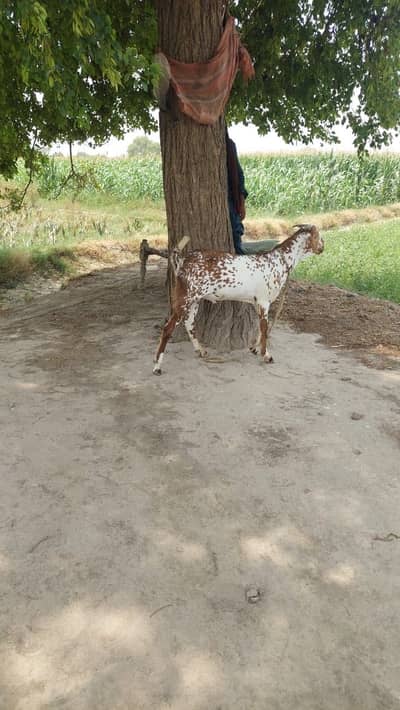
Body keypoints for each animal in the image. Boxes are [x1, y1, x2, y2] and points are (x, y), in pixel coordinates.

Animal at [153, 224, 324, 375]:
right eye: (320, 236)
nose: (323, 247)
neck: (280, 260)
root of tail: (183, 261)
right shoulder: (264, 301)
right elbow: (265, 328)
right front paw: (266, 355)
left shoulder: (258, 303)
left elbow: (260, 328)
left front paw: (255, 349)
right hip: (184, 298)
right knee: (167, 329)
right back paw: (157, 366)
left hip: (194, 300)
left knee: (189, 323)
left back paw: (200, 350)